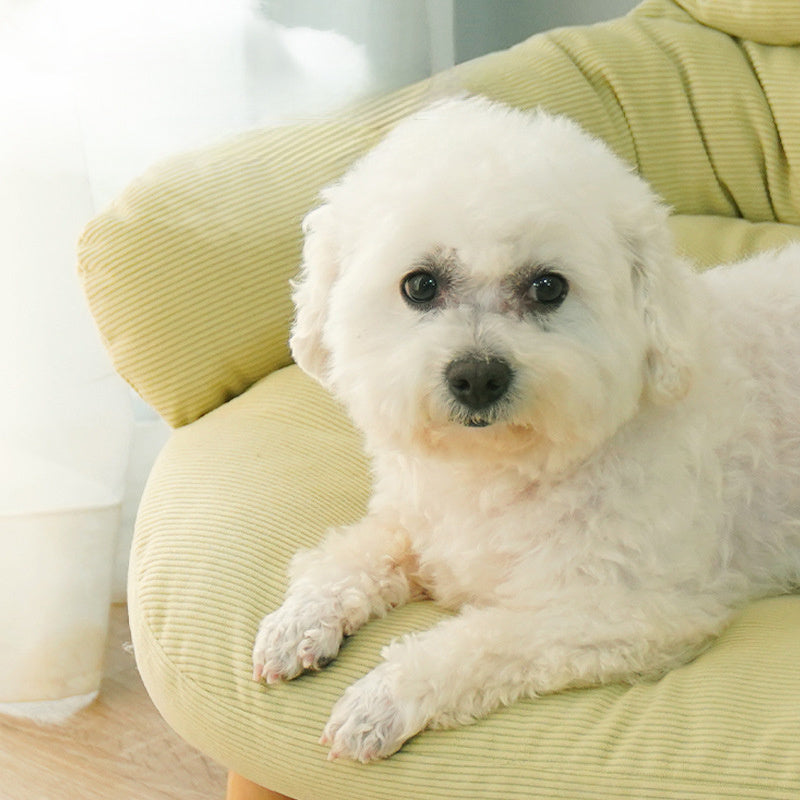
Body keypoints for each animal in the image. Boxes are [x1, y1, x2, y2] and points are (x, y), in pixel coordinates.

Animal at [252, 98, 800, 764]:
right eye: (420, 284)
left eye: (548, 287)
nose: (477, 376)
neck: (497, 470)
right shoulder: (416, 523)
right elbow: (351, 552)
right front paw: (302, 619)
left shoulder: (622, 611)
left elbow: (478, 641)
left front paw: (382, 699)